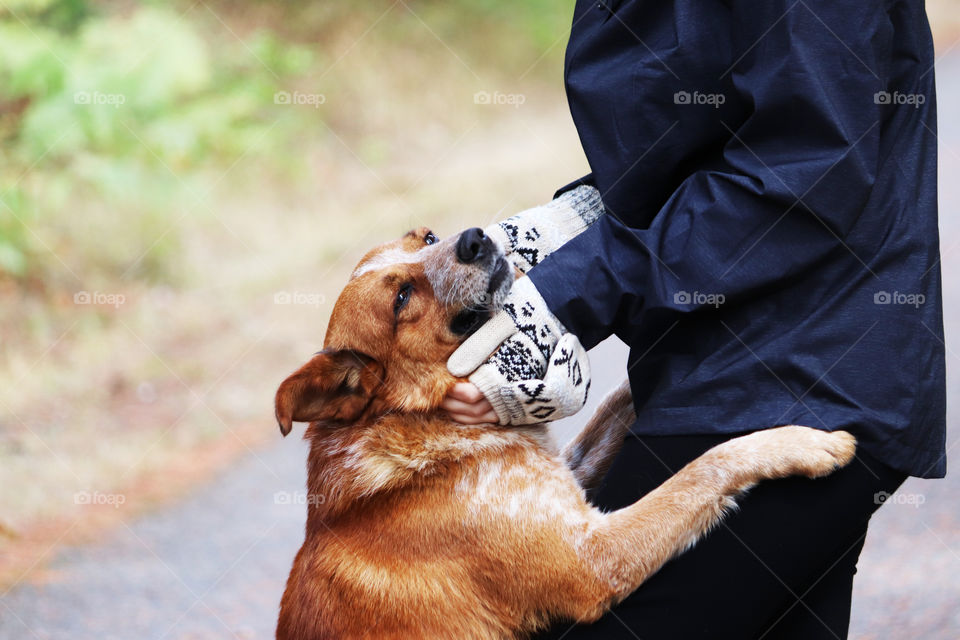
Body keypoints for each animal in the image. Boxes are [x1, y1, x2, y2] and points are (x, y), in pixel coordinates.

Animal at [272, 228, 856, 636]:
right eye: (401, 299)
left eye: (428, 239)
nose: (474, 237)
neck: (421, 420)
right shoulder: (594, 560)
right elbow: (704, 467)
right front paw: (802, 444)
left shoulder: (569, 480)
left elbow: (621, 399)